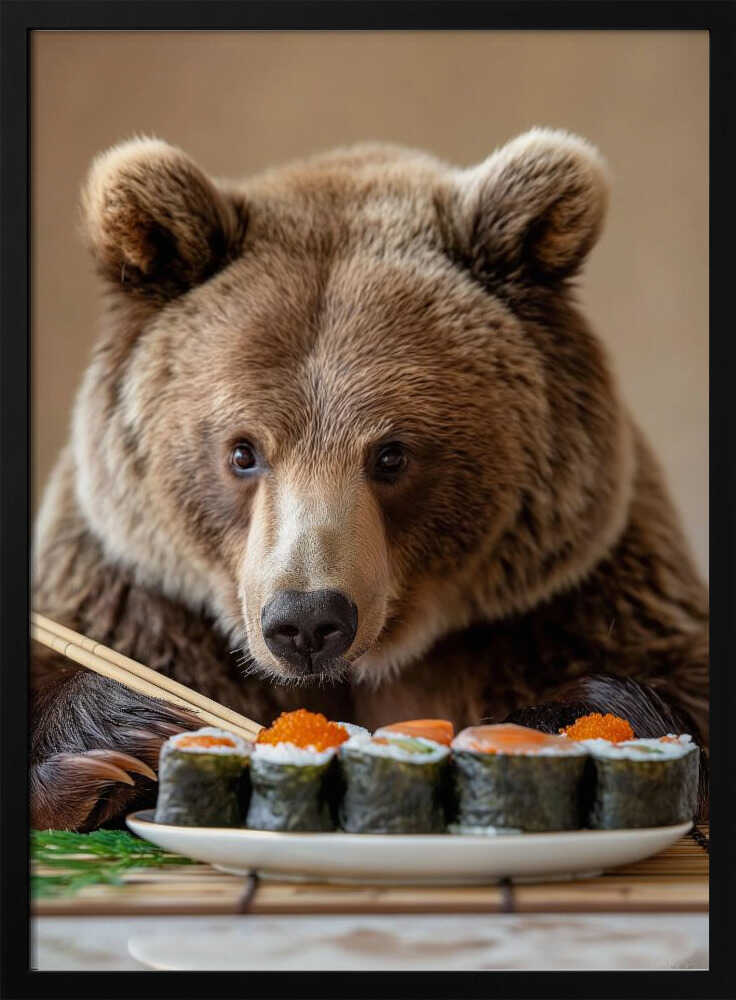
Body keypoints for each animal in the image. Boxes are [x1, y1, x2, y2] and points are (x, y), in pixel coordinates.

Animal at [31, 129, 709, 831]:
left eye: (391, 455)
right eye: (243, 452)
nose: (306, 620)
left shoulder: (573, 595)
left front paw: (557, 725)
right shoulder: (136, 593)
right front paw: (128, 728)